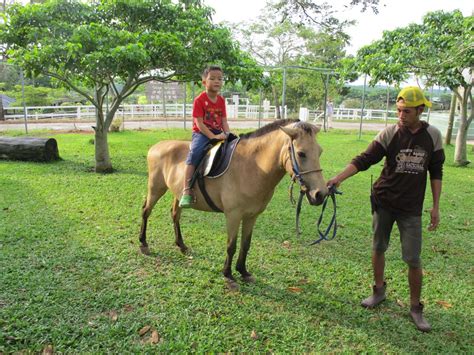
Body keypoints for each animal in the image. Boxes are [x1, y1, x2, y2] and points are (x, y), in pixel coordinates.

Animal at [139, 119, 328, 290]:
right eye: (301, 153)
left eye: (320, 152)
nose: (320, 194)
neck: (252, 167)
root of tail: (156, 146)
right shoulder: (233, 215)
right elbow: (231, 245)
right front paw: (228, 275)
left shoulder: (252, 216)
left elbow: (246, 244)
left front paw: (243, 271)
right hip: (156, 188)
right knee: (146, 211)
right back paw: (143, 244)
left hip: (177, 194)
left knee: (175, 215)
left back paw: (181, 245)